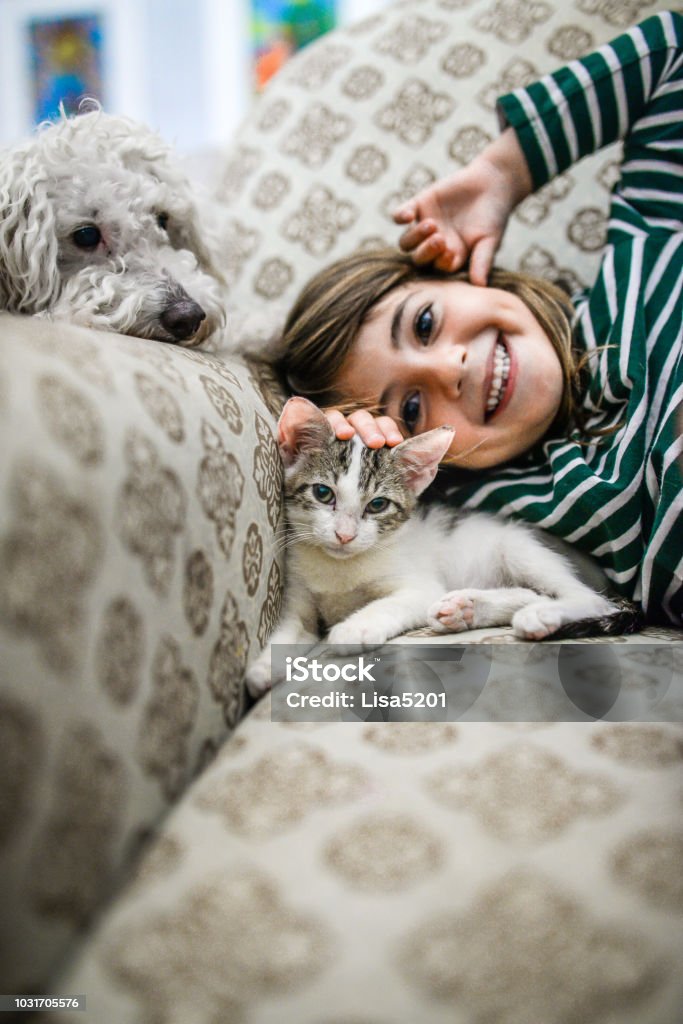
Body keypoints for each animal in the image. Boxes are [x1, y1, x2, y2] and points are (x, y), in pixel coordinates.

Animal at [245, 397, 634, 696]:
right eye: (323, 493)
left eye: (378, 505)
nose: (344, 535)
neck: (339, 568)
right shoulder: (299, 598)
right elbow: (293, 627)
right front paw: (264, 667)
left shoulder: (420, 587)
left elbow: (389, 604)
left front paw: (355, 628)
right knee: (532, 593)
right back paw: (467, 609)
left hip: (521, 546)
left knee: (586, 599)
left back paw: (538, 614)